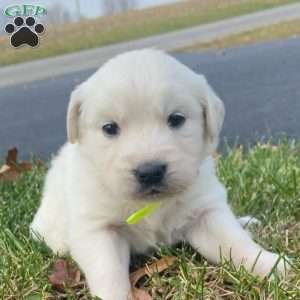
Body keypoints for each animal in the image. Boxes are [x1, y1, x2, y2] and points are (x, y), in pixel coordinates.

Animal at [31, 48, 288, 298]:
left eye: (176, 119)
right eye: (109, 128)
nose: (150, 171)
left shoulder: (205, 211)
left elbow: (234, 242)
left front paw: (270, 265)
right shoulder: (97, 229)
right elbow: (109, 273)